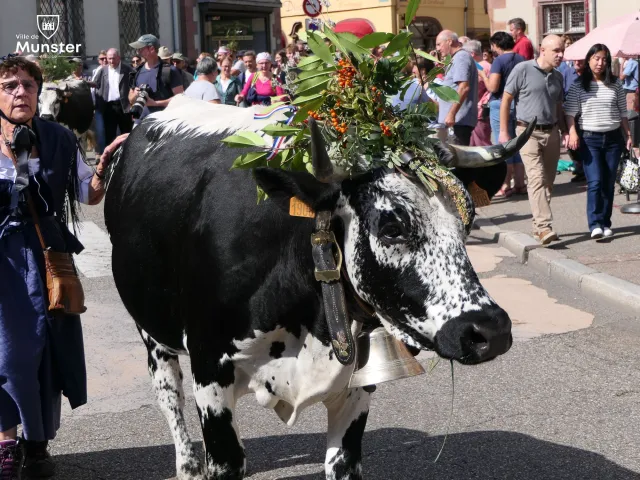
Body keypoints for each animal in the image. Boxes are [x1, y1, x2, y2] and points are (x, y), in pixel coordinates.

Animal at [105, 95, 532, 478]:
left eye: (468, 220)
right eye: (391, 227)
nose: (490, 330)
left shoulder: (359, 389)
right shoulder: (210, 374)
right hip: (152, 332)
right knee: (168, 394)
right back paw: (188, 465)